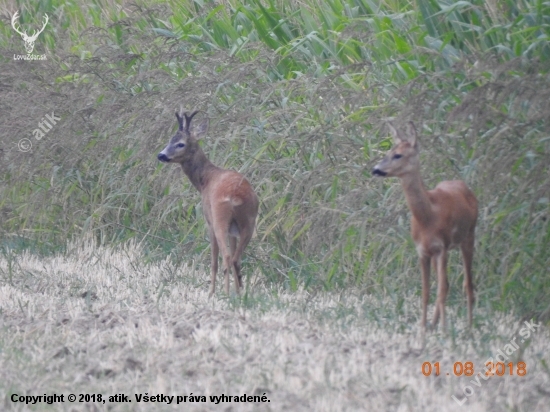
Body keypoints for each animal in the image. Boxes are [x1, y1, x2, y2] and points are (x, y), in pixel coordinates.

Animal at [158, 111, 260, 294]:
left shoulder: (209, 221)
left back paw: (224, 293)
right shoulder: (233, 231)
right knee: (236, 258)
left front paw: (211, 292)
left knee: (226, 257)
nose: (161, 155)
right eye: (170, 140)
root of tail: (236, 196)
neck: (205, 180)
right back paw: (239, 292)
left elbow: (213, 262)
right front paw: (235, 291)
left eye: (180, 144)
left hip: (219, 219)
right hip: (249, 222)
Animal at [376, 122, 478, 332]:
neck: (428, 217)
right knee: (447, 283)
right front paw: (423, 327)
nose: (376, 169)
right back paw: (434, 324)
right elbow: (425, 292)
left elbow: (441, 291)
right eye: (389, 151)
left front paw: (445, 330)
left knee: (467, 284)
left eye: (398, 155)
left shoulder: (442, 247)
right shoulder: (422, 251)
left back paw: (469, 328)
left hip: (469, 236)